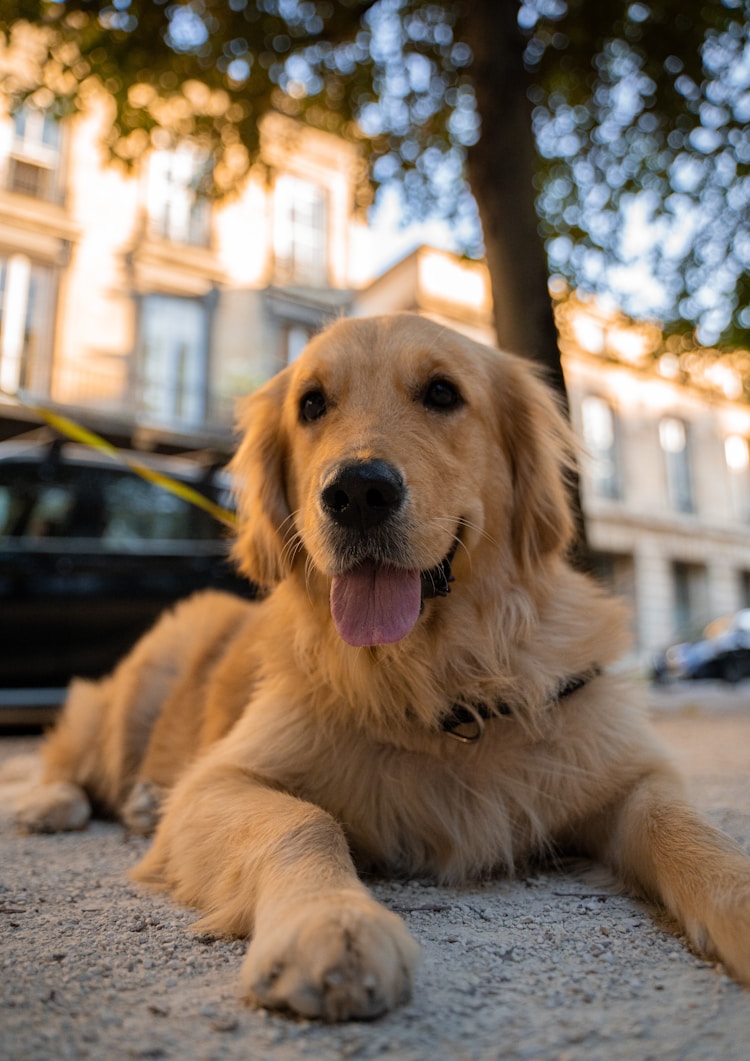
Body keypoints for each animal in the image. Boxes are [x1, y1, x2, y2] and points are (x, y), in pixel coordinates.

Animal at [10, 314, 750, 1018]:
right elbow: (304, 821)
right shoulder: (218, 780)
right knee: (75, 751)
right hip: (143, 682)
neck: (436, 678)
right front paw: (330, 922)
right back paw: (55, 802)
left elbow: (685, 826)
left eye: (443, 393)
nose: (358, 491)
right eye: (311, 403)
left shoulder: (625, 768)